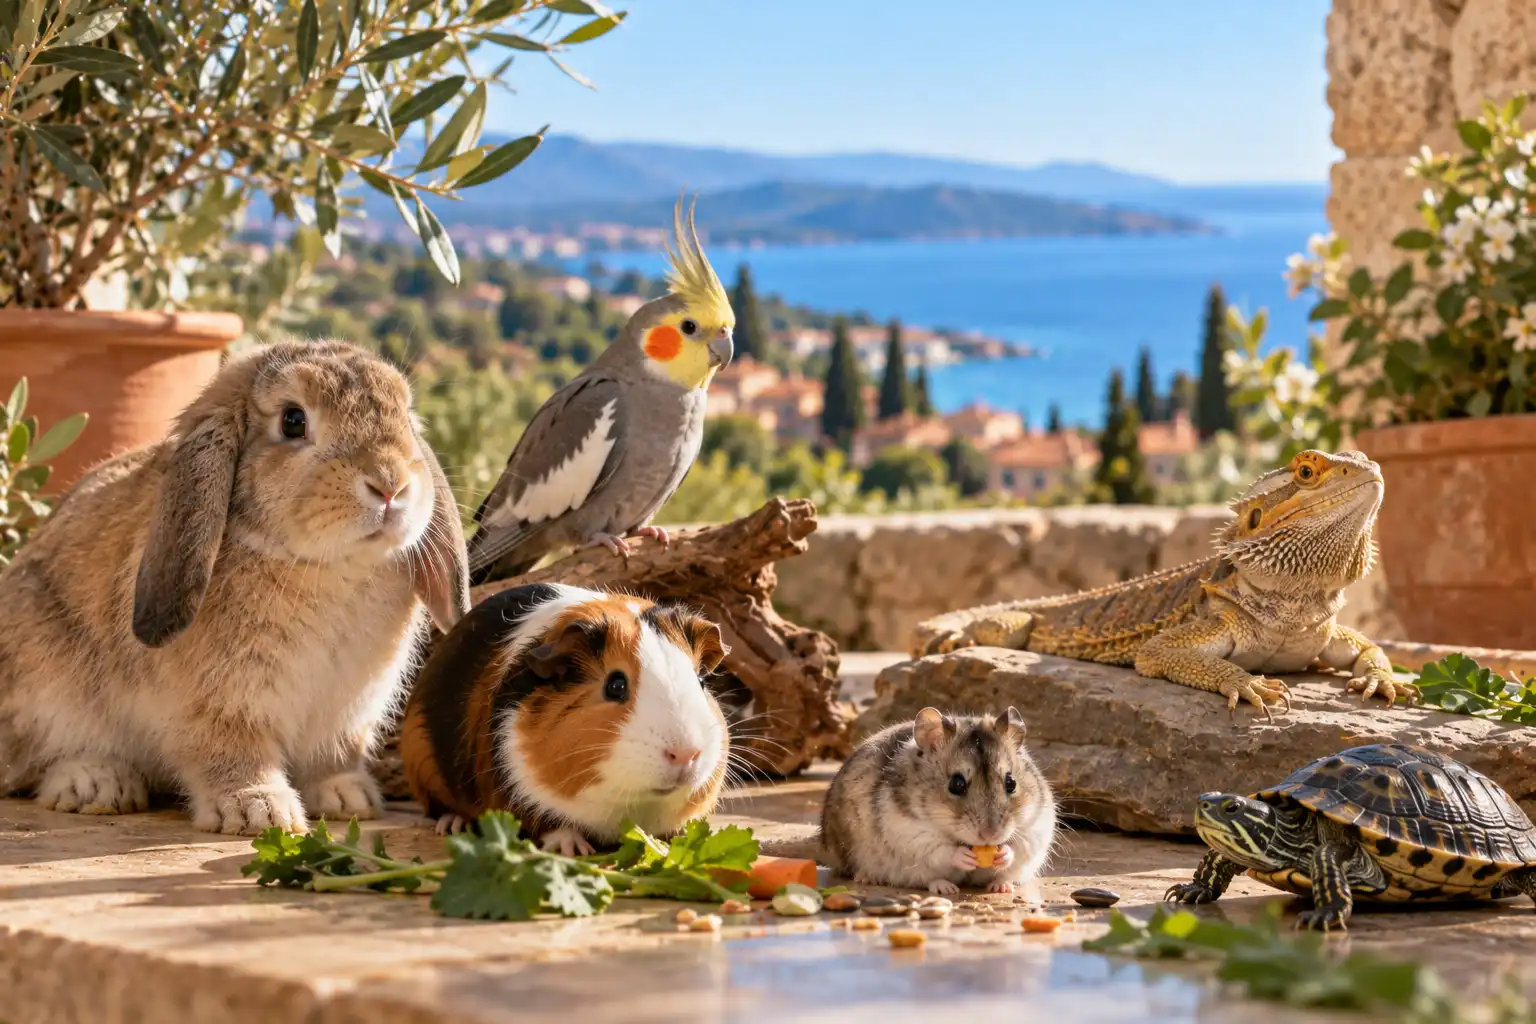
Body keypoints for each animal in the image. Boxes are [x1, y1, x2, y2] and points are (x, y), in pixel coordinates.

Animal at [0, 339, 470, 835]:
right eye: (293, 420)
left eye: (406, 413)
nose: (390, 485)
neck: (329, 567)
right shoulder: (224, 708)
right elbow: (234, 753)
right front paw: (260, 812)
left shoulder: (344, 714)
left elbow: (333, 756)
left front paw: (347, 798)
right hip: (47, 687)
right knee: (38, 762)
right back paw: (95, 783)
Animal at [399, 582, 731, 855]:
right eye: (616, 685)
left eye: (701, 681)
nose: (686, 754)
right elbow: (551, 824)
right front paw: (574, 848)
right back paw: (454, 825)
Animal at [818, 706, 1056, 895]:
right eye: (956, 784)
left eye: (1011, 783)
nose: (991, 835)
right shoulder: (909, 832)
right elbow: (941, 849)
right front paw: (964, 857)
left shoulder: (1037, 827)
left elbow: (1018, 846)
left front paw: (1003, 855)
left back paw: (1001, 886)